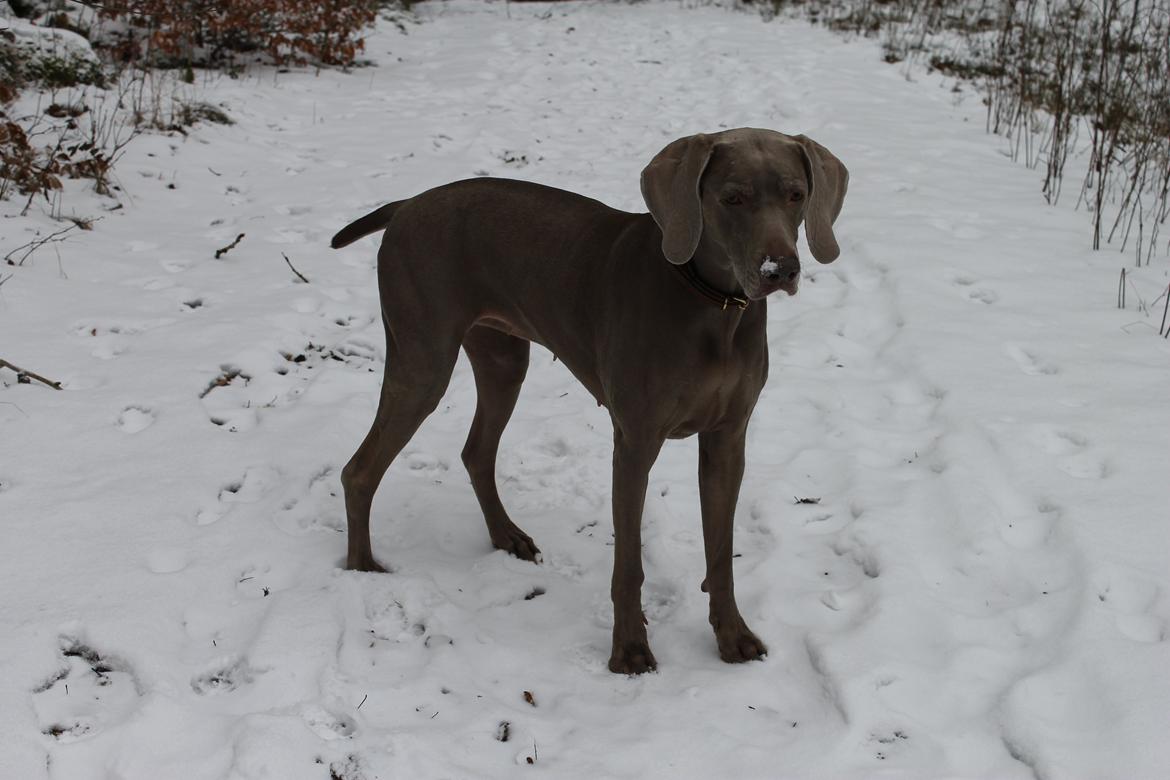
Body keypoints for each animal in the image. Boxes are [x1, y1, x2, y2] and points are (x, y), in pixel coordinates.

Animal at [332, 126, 851, 673]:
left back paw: (506, 536)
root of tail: (407, 205)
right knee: (359, 471)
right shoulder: (636, 442)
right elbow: (628, 565)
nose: (781, 269)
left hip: (502, 360)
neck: (713, 305)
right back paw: (362, 569)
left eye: (796, 195)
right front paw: (629, 649)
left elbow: (720, 553)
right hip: (423, 363)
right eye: (732, 198)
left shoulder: (728, 439)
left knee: (476, 451)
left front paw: (732, 636)